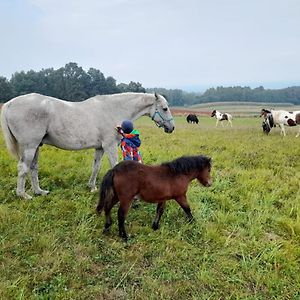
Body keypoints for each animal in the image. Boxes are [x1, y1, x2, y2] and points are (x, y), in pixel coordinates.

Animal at [0, 91, 175, 199]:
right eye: (165, 108)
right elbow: (115, 166)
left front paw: (92, 187)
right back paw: (23, 195)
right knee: (23, 167)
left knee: (33, 168)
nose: (171, 128)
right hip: (30, 146)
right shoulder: (110, 146)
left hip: (37, 146)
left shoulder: (100, 148)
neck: (114, 109)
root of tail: (9, 104)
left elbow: (95, 167)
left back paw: (39, 191)